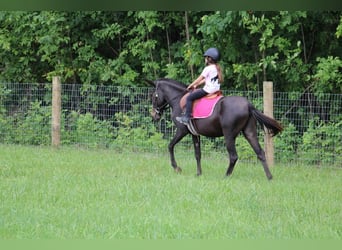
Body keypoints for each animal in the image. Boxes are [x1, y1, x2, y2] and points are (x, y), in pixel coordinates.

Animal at [147, 78, 284, 180]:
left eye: (153, 96)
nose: (154, 115)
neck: (179, 100)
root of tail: (248, 105)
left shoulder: (182, 131)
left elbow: (170, 146)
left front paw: (177, 168)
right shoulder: (194, 134)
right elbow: (197, 154)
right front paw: (198, 173)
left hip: (229, 135)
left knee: (233, 156)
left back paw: (226, 176)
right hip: (249, 133)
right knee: (260, 153)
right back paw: (269, 177)